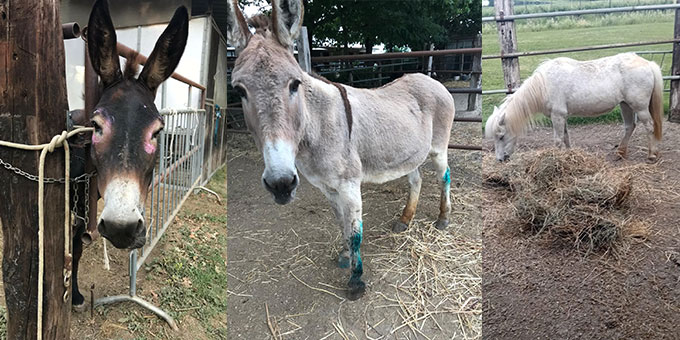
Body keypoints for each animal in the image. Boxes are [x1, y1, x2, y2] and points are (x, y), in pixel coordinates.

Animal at [486, 52, 660, 162]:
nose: (500, 159)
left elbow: (558, 140)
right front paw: (569, 156)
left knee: (650, 126)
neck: (544, 85)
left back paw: (651, 155)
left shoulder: (557, 116)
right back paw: (620, 153)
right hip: (625, 105)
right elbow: (566, 137)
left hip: (640, 107)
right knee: (630, 126)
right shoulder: (560, 116)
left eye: (501, 136)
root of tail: (648, 64)